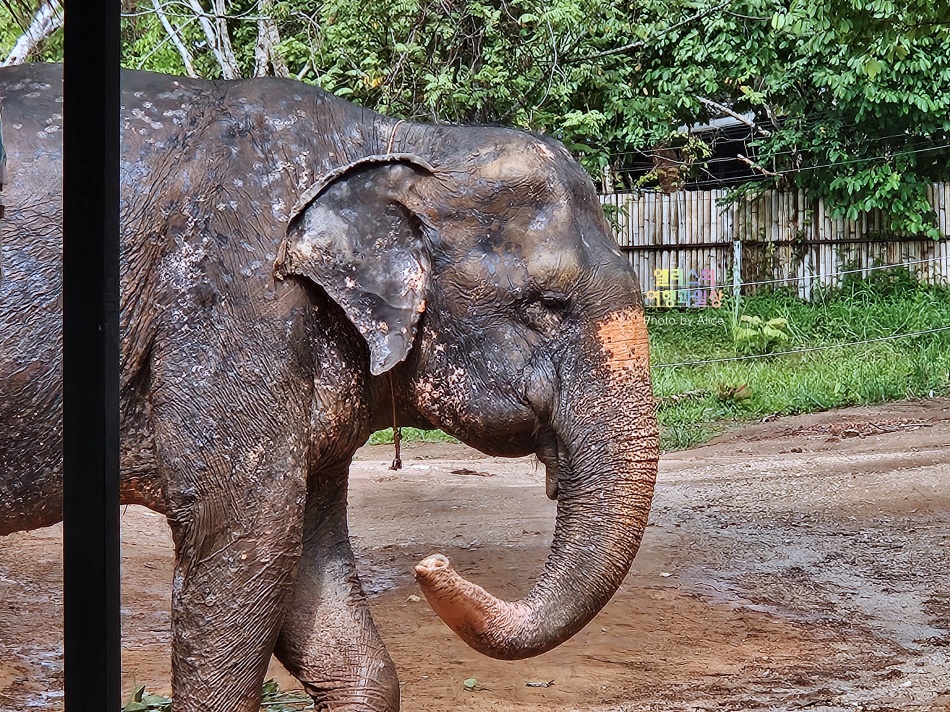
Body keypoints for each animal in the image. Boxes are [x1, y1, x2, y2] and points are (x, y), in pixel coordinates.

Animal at [0, 62, 660, 712]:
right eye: (547, 304)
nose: (431, 564)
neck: (396, 140)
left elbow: (321, 589)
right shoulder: (238, 305)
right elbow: (245, 535)